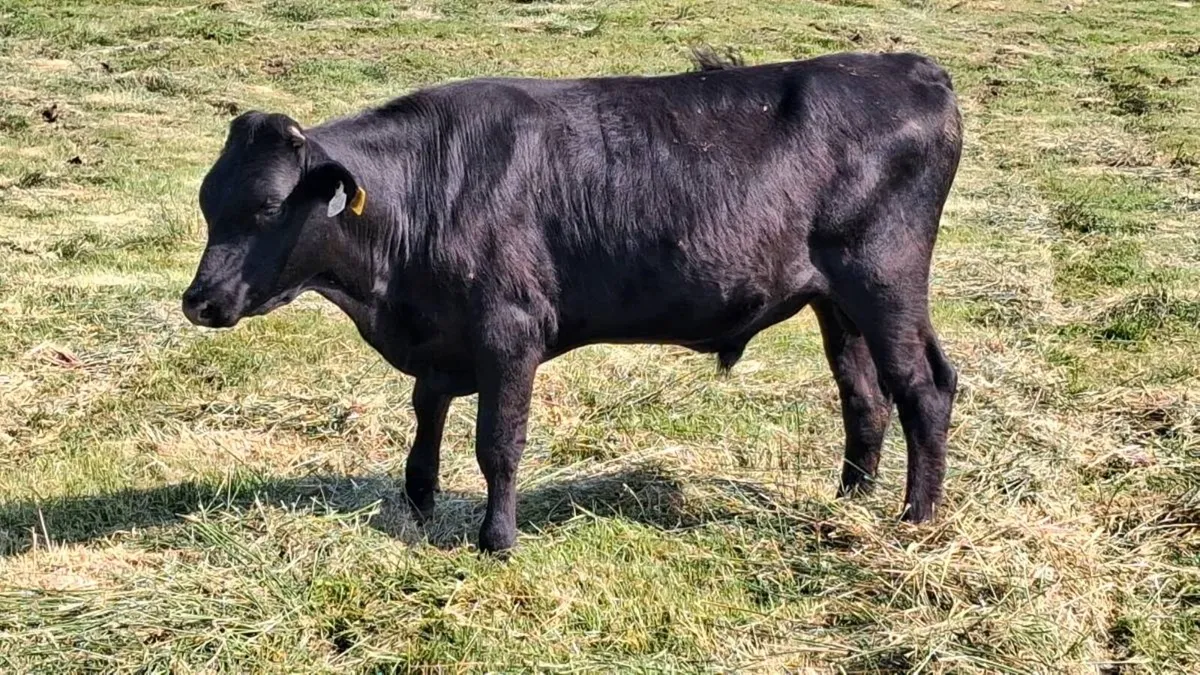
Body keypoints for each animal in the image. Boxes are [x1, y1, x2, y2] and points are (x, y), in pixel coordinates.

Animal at [182, 48, 963, 554]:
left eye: (265, 206)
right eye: (207, 202)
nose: (200, 300)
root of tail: (909, 66)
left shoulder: (510, 331)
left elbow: (498, 442)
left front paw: (496, 539)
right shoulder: (439, 341)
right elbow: (426, 421)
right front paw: (418, 505)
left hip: (884, 279)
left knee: (924, 388)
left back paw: (915, 519)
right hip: (838, 303)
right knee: (864, 396)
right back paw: (849, 503)